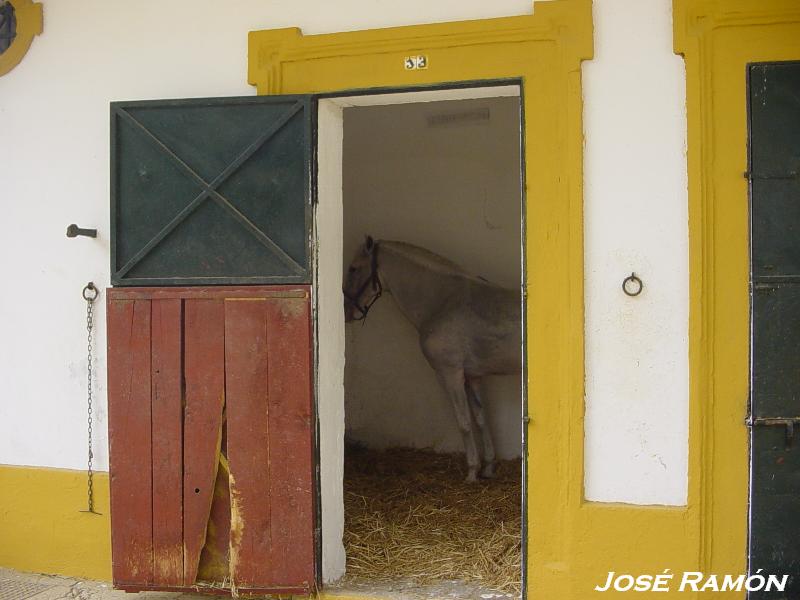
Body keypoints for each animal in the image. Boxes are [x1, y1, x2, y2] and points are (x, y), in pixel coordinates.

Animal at [342, 237, 520, 480]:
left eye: (353, 268)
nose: (346, 312)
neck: (442, 301)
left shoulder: (450, 374)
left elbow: (464, 422)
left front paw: (472, 472)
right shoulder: (472, 377)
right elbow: (481, 420)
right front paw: (488, 467)